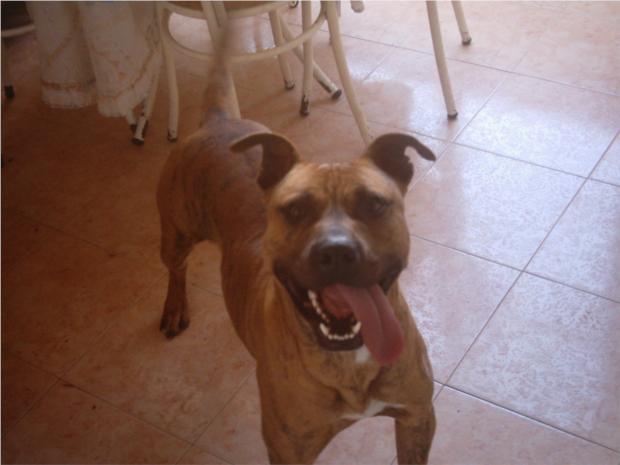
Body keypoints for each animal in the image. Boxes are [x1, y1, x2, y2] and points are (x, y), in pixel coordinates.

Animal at [157, 28, 437, 465]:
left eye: (374, 204)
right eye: (295, 209)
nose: (336, 251)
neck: (349, 359)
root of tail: (219, 120)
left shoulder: (417, 417)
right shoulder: (288, 449)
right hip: (175, 231)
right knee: (175, 268)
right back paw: (174, 307)